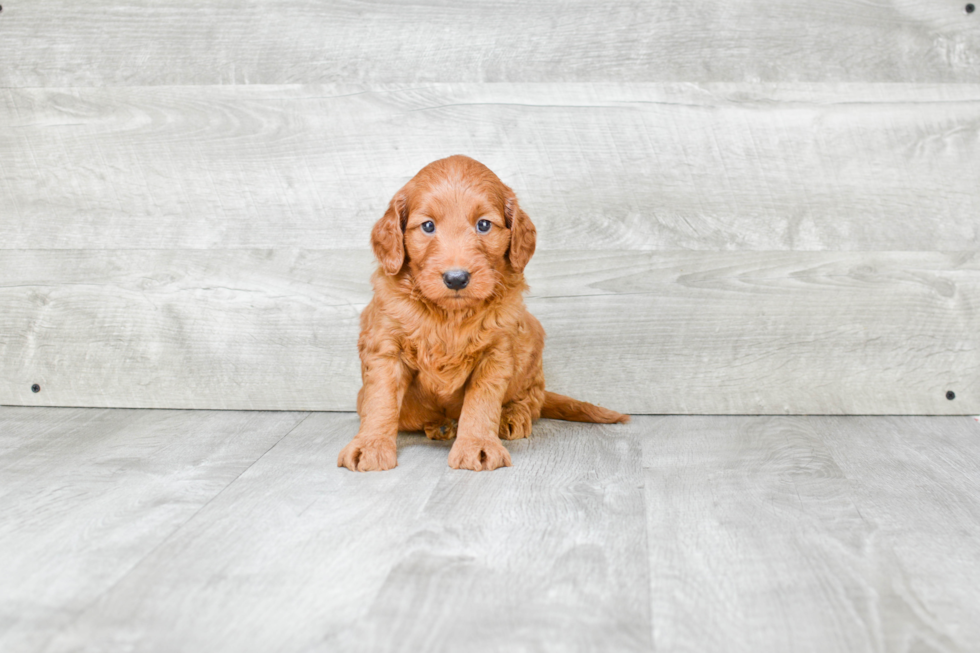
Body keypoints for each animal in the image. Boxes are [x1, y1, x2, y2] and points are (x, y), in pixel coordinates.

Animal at [336, 155, 628, 472]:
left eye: (484, 224)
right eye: (428, 226)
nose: (456, 278)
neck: (450, 315)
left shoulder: (497, 351)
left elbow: (481, 402)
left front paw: (476, 445)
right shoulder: (386, 346)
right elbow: (381, 399)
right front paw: (371, 445)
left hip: (532, 337)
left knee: (533, 398)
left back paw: (512, 416)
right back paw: (440, 425)